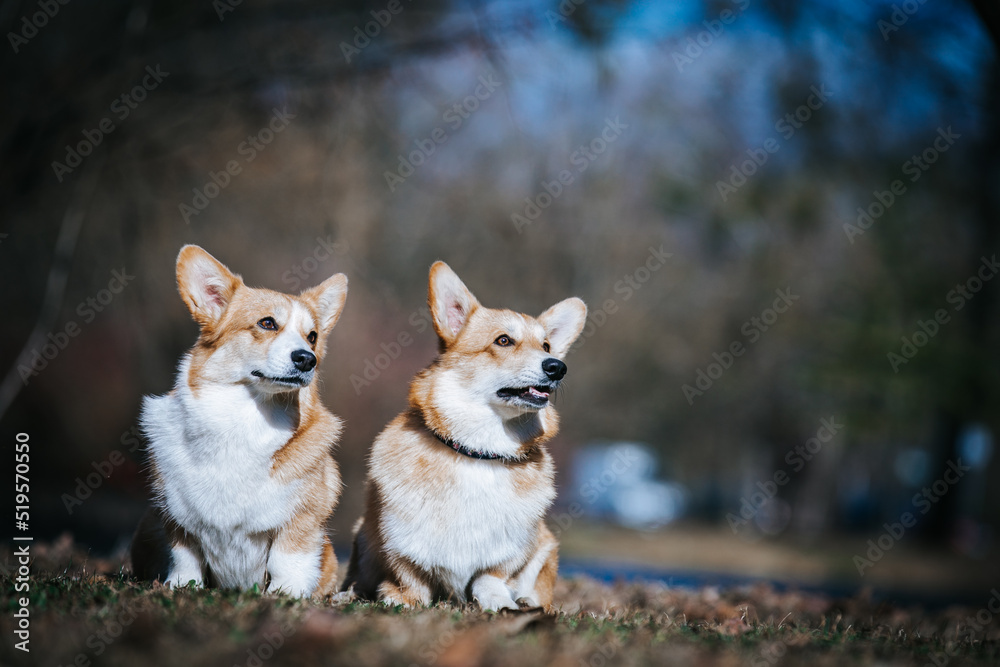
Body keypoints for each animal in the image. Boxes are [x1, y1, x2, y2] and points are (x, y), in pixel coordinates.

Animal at [130, 247, 348, 600]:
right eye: (267, 323)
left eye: (312, 336)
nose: (307, 359)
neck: (245, 417)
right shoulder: (176, 517)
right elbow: (185, 556)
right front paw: (180, 586)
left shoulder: (302, 518)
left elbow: (289, 559)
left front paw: (287, 594)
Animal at [342, 260, 584, 612]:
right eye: (503, 341)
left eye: (546, 346)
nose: (557, 367)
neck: (478, 450)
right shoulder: (402, 553)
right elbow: (410, 580)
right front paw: (399, 599)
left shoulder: (505, 558)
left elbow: (490, 578)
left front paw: (502, 604)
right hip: (362, 534)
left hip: (546, 543)